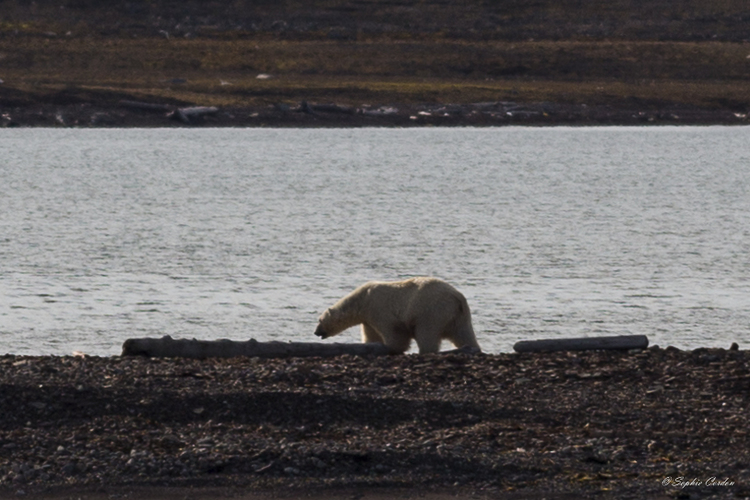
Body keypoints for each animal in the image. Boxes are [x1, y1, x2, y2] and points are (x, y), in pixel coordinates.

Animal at [312, 276, 482, 354]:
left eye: (319, 320)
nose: (315, 332)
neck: (362, 299)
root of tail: (457, 296)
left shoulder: (378, 308)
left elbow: (393, 331)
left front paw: (391, 346)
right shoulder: (367, 318)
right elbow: (371, 334)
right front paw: (371, 344)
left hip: (431, 311)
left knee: (426, 333)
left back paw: (425, 350)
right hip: (459, 316)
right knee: (464, 334)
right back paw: (473, 348)